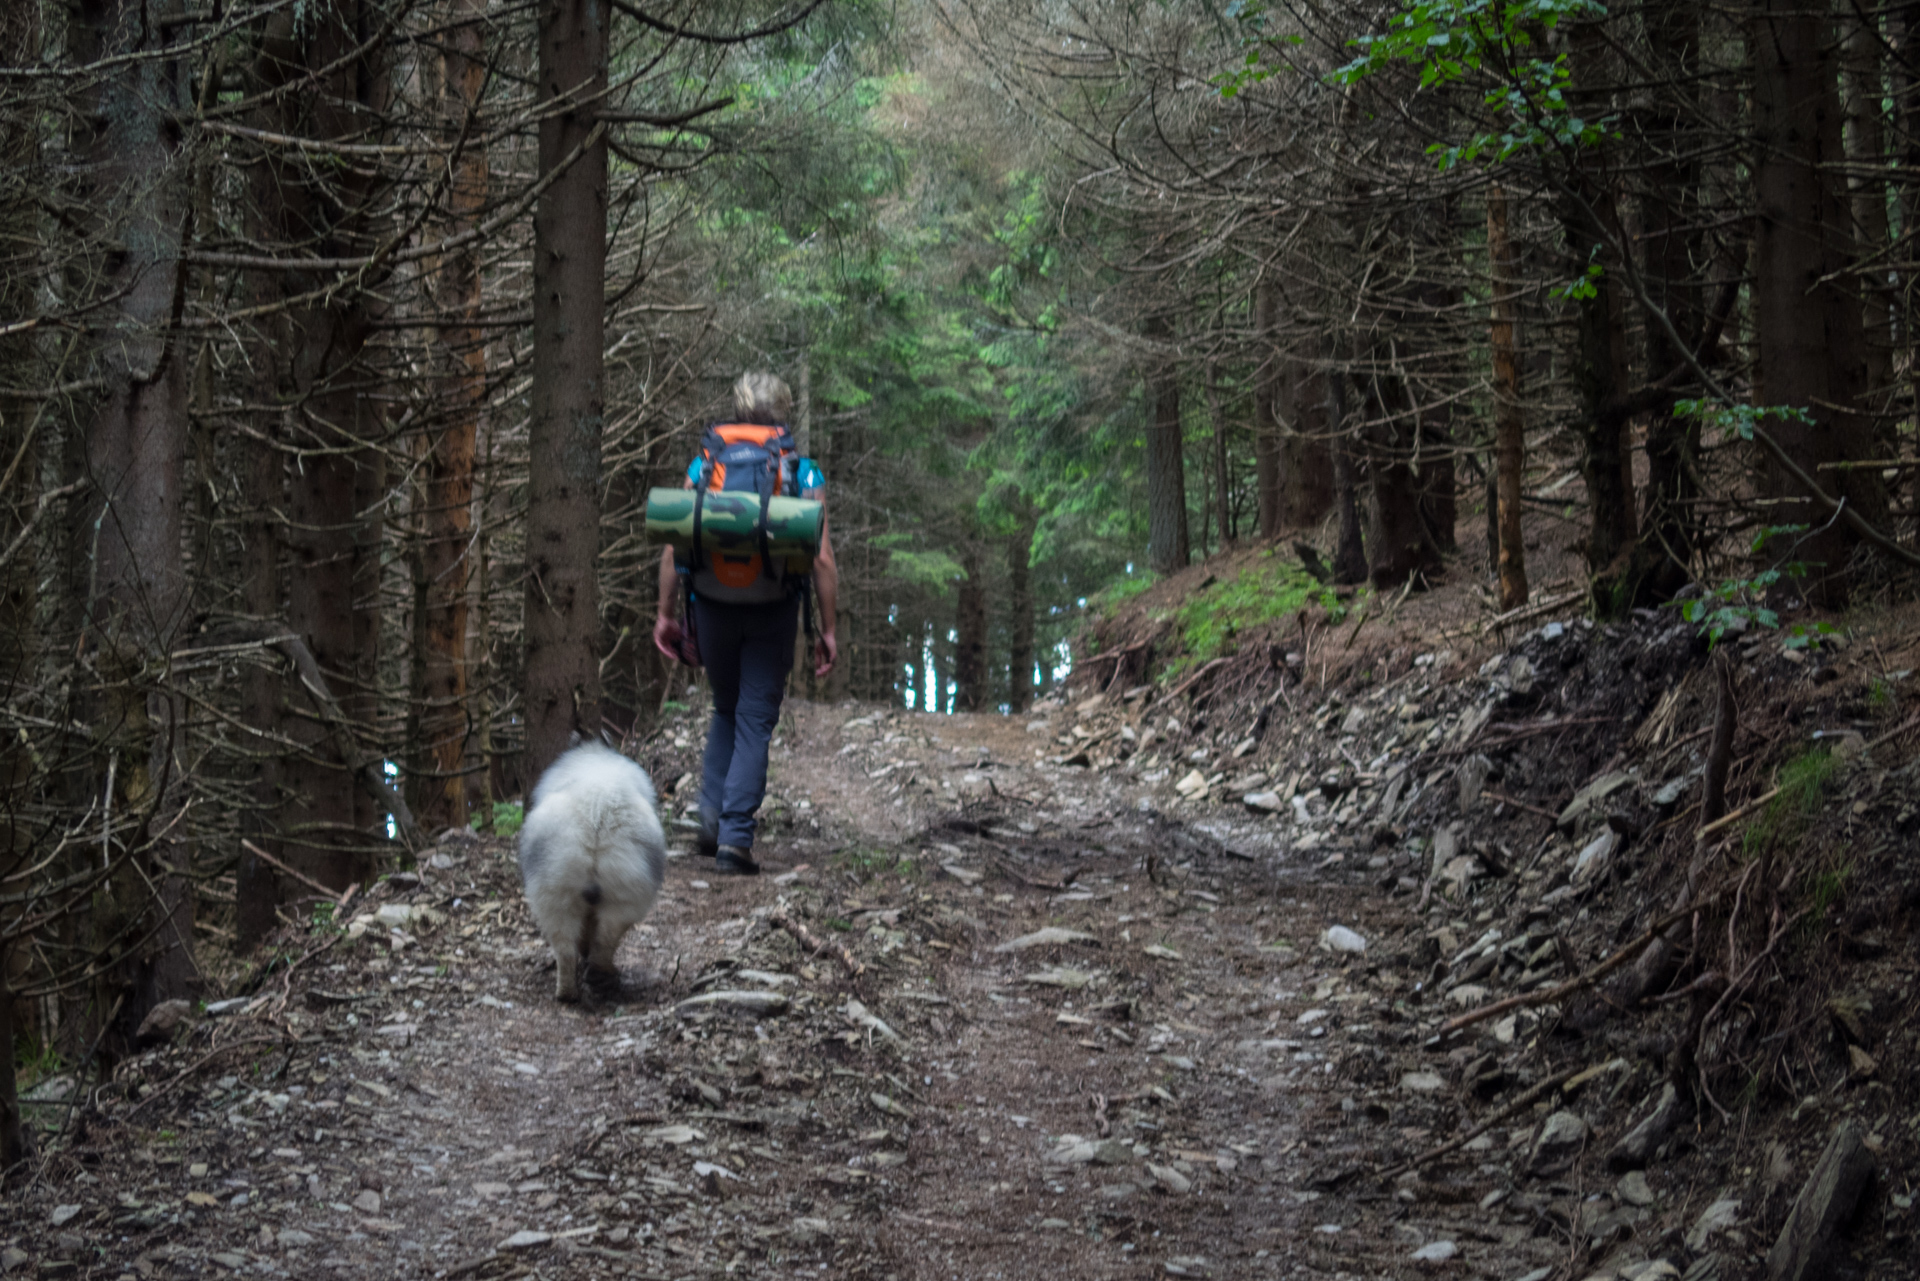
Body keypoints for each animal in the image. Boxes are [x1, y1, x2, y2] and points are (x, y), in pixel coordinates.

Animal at [518, 741, 668, 998]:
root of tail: (598, 806)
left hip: (557, 893)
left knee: (571, 947)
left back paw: (572, 989)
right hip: (617, 893)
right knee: (602, 939)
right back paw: (593, 979)